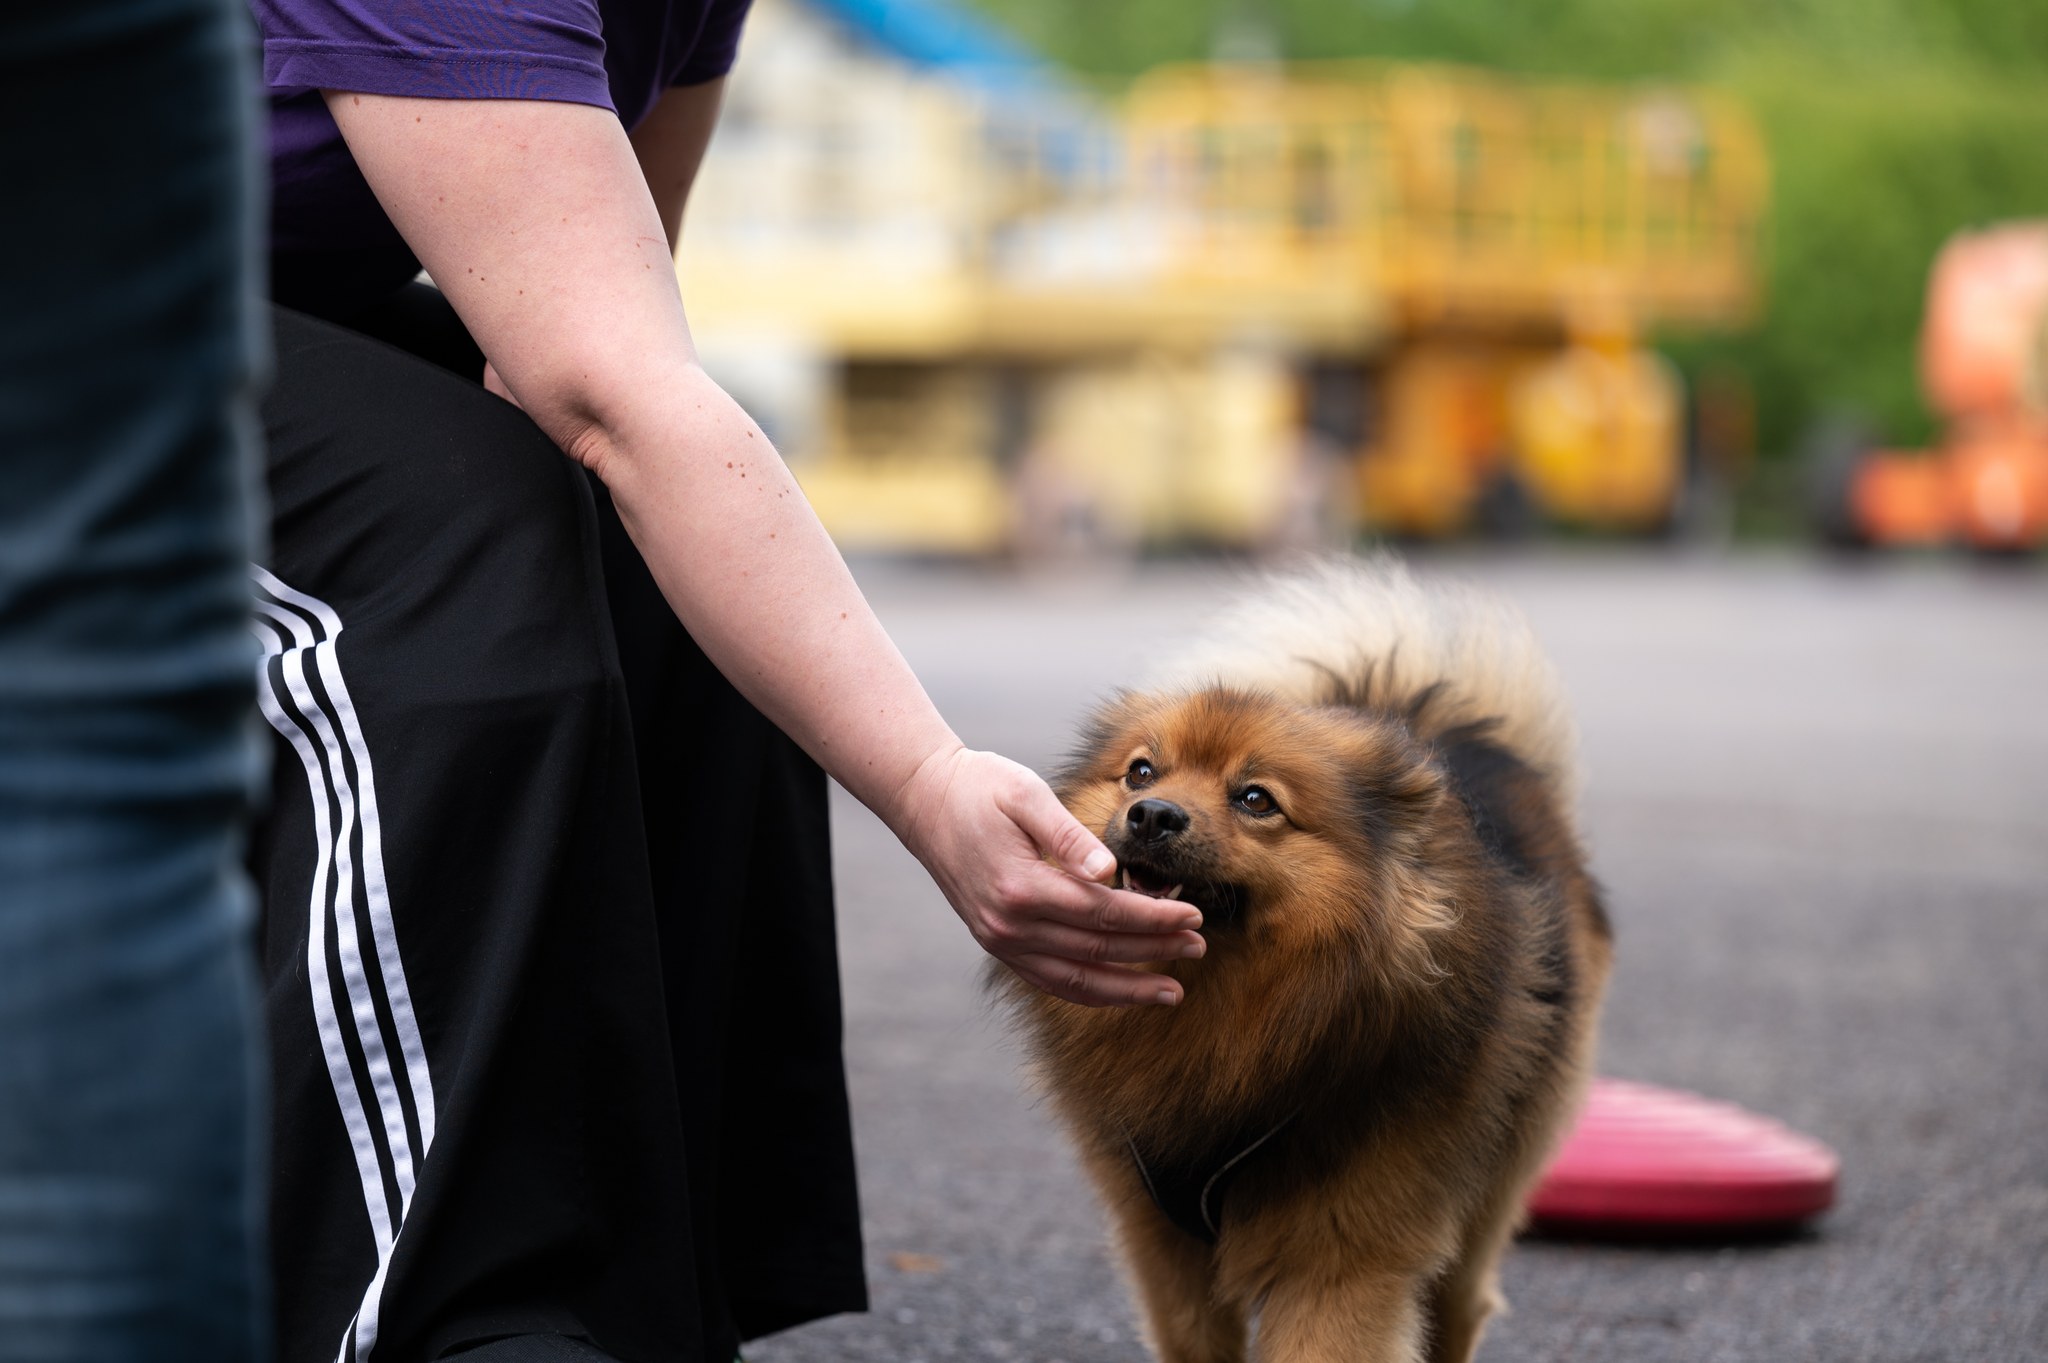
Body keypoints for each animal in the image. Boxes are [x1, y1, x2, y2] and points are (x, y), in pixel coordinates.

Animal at [995, 556, 1613, 1358]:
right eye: (1141, 772)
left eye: (1256, 799)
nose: (1153, 815)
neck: (1228, 1022)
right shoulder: (1163, 1243)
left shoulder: (1340, 1257)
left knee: (1460, 1300)